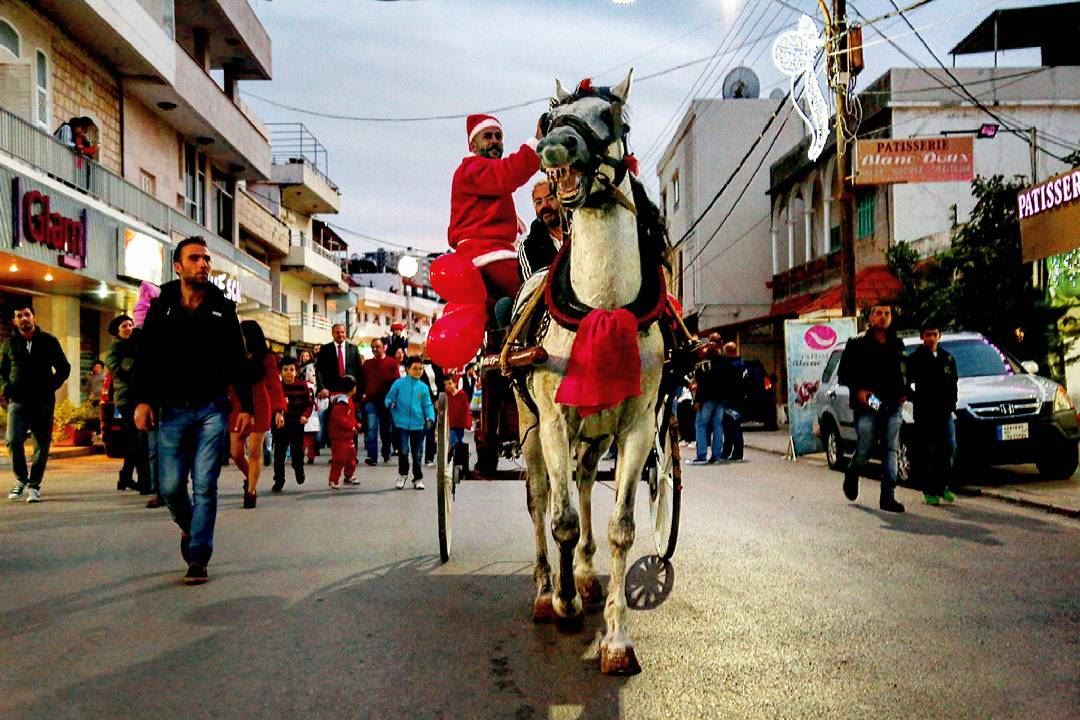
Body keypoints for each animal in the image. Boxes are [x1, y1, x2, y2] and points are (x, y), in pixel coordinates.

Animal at [511, 69, 665, 677]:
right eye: (550, 119)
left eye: (613, 119)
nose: (555, 145)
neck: (603, 306)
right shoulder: (554, 420)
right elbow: (561, 520)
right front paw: (564, 604)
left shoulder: (638, 426)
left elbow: (621, 528)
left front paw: (617, 640)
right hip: (530, 427)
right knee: (540, 499)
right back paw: (544, 590)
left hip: (595, 434)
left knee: (579, 481)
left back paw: (581, 573)